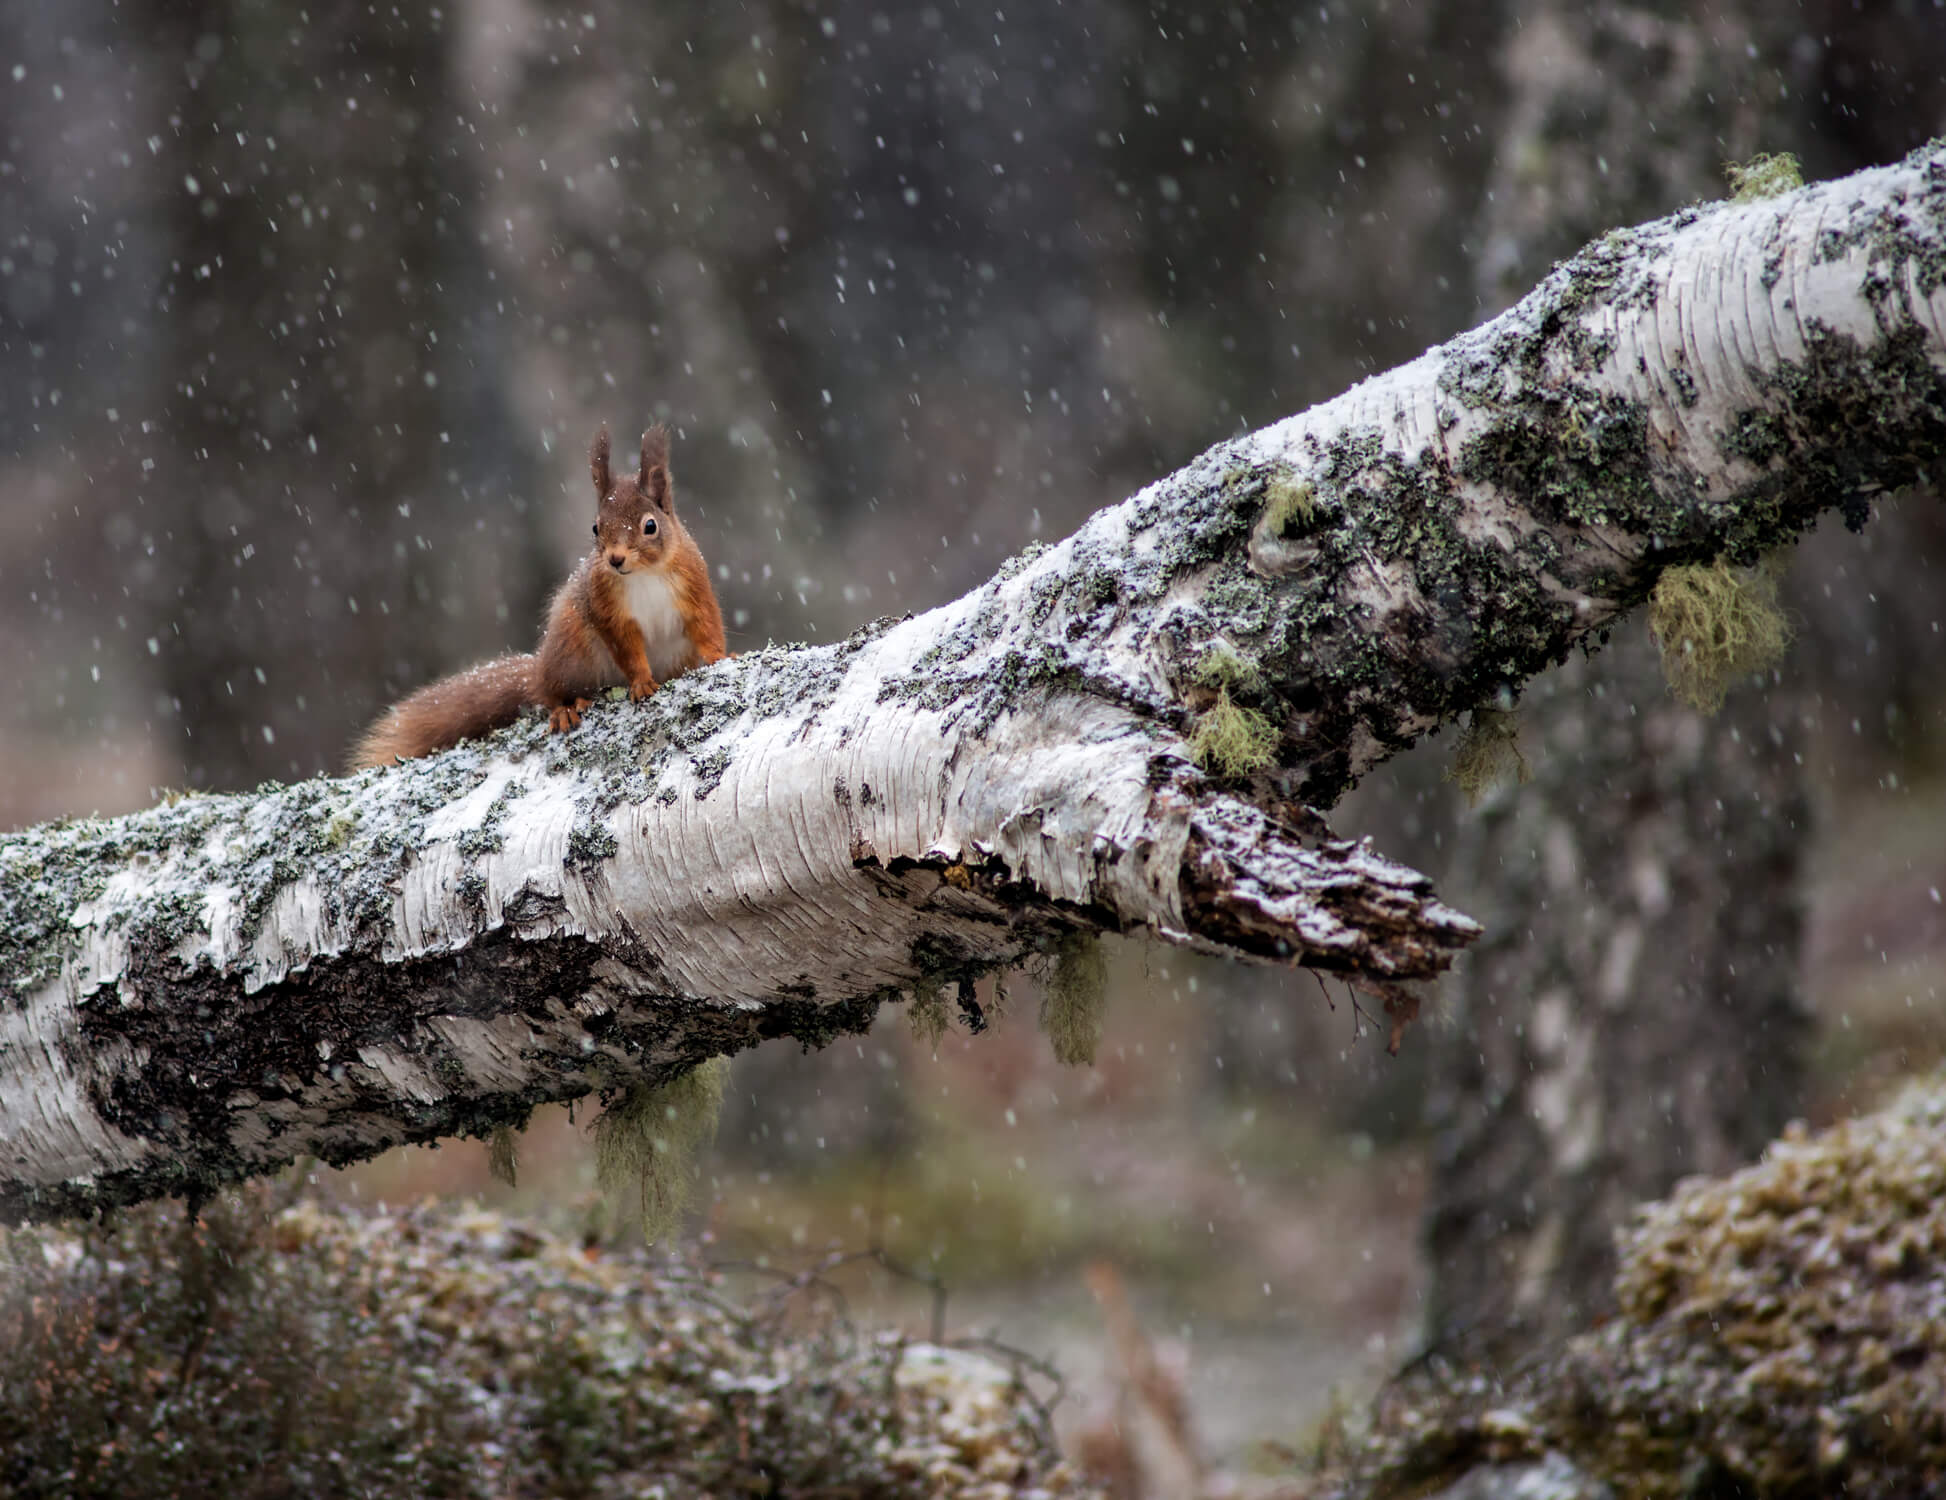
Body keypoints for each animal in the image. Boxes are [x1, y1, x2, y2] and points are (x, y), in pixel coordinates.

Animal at [346, 426, 727, 770]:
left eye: (650, 526)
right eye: (596, 527)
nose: (615, 559)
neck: (644, 575)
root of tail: (539, 668)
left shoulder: (694, 586)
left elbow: (707, 624)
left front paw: (720, 656)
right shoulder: (605, 607)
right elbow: (626, 649)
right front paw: (642, 682)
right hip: (570, 647)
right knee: (549, 693)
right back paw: (565, 708)